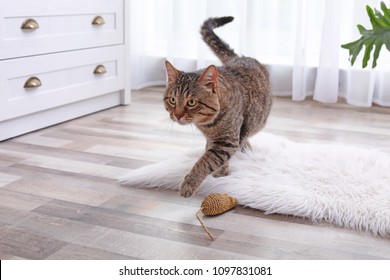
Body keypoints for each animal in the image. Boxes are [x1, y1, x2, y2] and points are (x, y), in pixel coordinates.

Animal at [164, 17, 272, 197]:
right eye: (172, 100)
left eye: (191, 102)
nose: (177, 115)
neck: (208, 124)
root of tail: (239, 57)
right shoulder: (215, 140)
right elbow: (210, 153)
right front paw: (221, 169)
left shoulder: (226, 141)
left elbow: (206, 161)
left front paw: (190, 183)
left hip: (259, 120)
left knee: (246, 134)